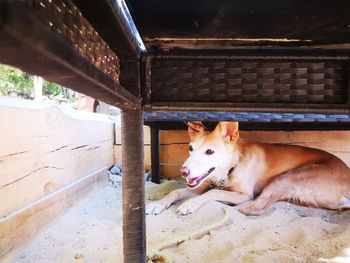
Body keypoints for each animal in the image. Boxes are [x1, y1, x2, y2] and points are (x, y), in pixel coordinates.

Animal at [145, 121, 350, 217]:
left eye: (210, 151)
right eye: (190, 148)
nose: (184, 172)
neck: (230, 169)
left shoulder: (242, 194)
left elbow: (212, 194)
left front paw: (189, 204)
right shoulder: (203, 184)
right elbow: (176, 192)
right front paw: (157, 204)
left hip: (286, 178)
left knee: (256, 206)